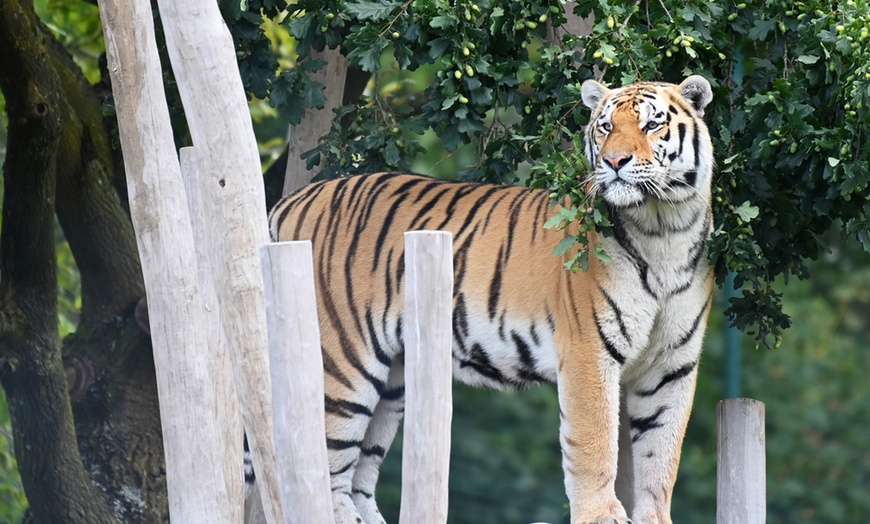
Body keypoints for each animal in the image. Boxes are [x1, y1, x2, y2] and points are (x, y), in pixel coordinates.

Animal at [270, 74, 716, 524]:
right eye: (606, 127)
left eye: (652, 125)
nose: (614, 161)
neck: (664, 229)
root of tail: (293, 199)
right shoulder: (589, 350)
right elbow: (594, 442)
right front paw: (602, 515)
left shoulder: (672, 364)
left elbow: (661, 454)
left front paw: (654, 518)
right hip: (343, 362)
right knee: (324, 474)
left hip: (392, 380)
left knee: (358, 477)